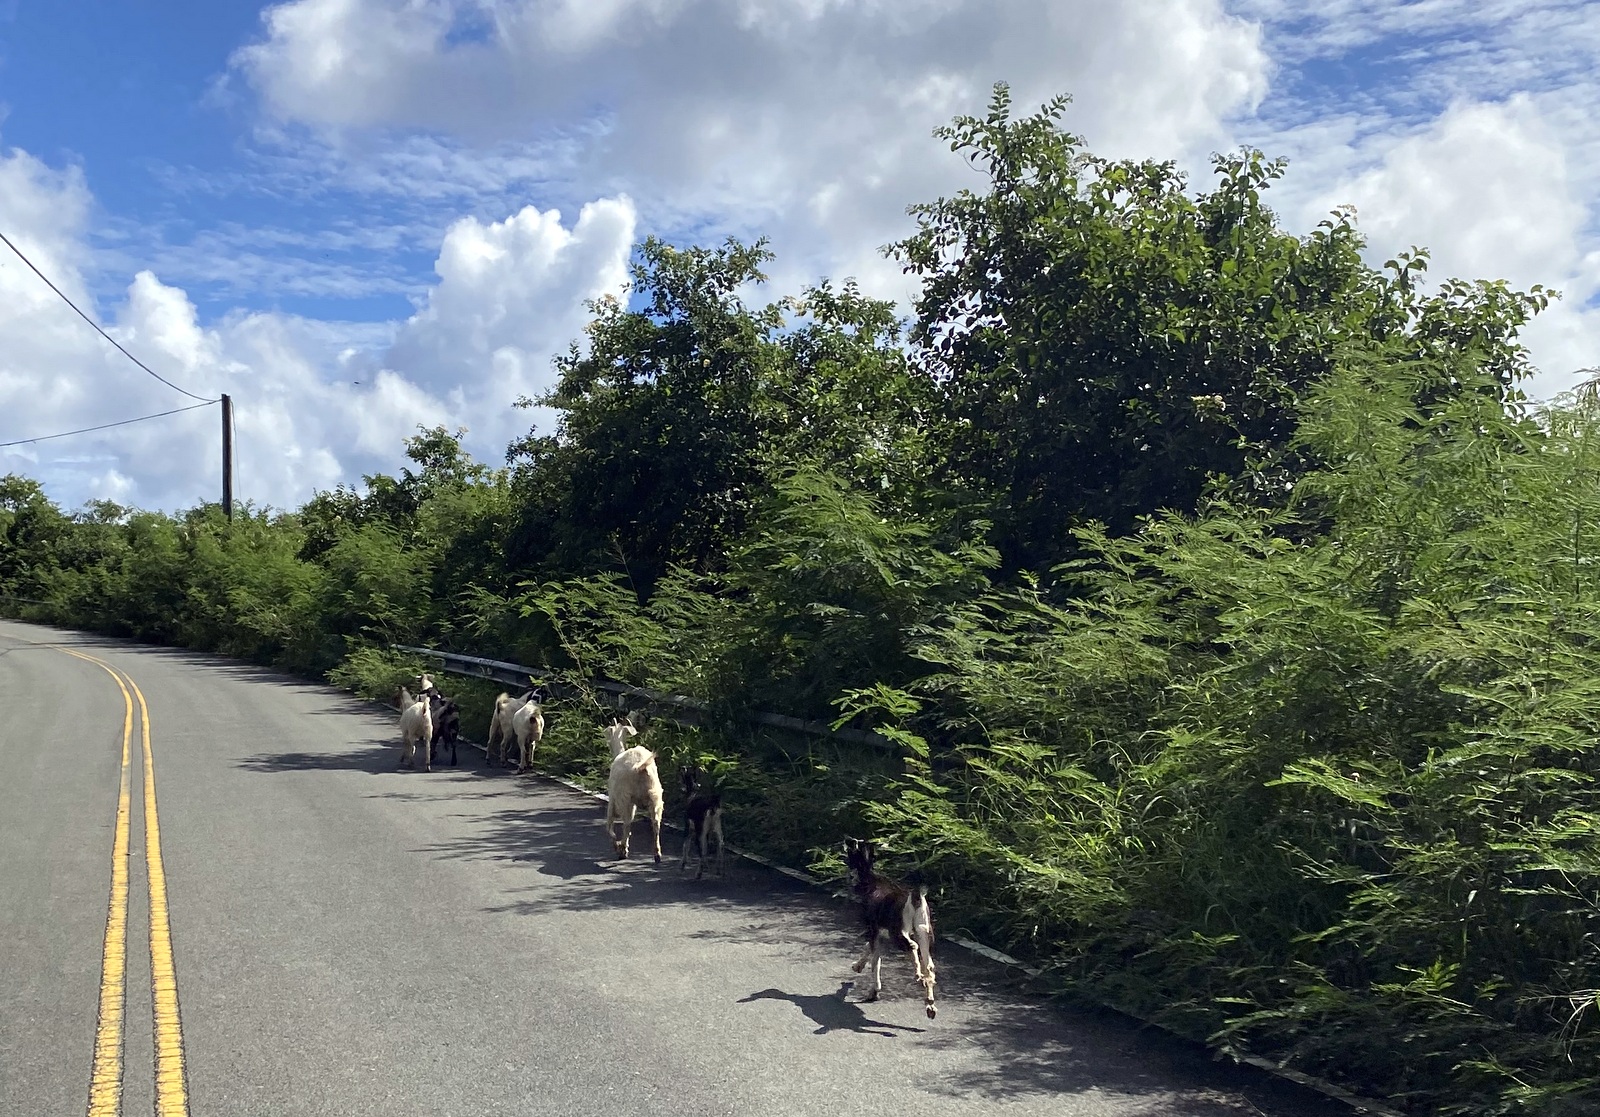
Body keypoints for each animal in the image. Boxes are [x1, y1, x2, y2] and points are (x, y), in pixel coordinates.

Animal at [838, 832, 934, 1017]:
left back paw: (918, 975)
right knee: (929, 967)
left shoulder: (874, 928)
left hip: (898, 932)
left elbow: (875, 963)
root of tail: (915, 897)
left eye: (854, 845)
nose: (846, 838)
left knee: (913, 947)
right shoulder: (879, 931)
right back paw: (930, 1004)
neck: (869, 881)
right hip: (923, 931)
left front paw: (874, 991)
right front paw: (857, 966)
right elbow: (870, 951)